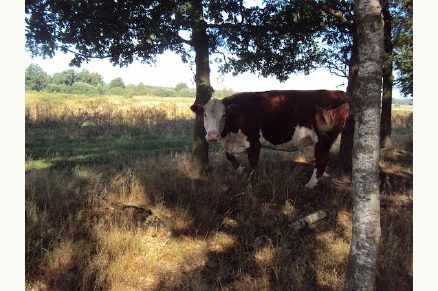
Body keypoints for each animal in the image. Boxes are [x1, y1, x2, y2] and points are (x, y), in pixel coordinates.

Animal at [190, 90, 350, 189]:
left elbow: (254, 162)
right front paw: (241, 171)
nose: (213, 136)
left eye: (224, 115)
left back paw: (310, 185)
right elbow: (228, 155)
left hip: (324, 138)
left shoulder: (254, 142)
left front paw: (252, 181)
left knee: (322, 160)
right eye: (204, 114)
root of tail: (338, 92)